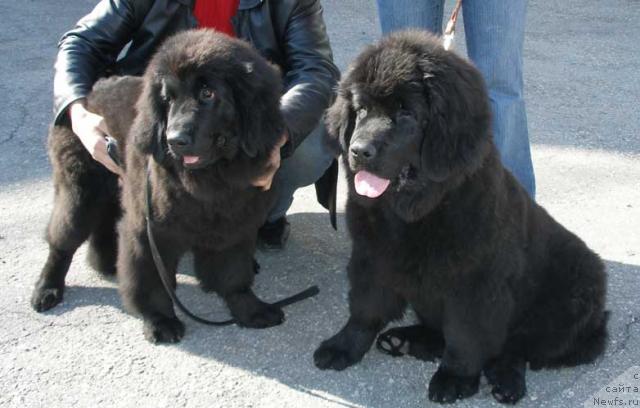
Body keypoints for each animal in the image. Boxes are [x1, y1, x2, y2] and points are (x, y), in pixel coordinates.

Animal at [31, 30, 288, 344]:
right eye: (168, 98)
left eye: (208, 94)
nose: (173, 139)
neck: (211, 179)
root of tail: (87, 93)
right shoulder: (148, 230)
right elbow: (151, 281)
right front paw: (160, 321)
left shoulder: (235, 224)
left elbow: (234, 273)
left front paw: (249, 309)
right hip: (80, 191)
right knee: (61, 241)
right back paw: (47, 288)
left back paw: (105, 261)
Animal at [316, 30, 608, 404]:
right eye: (362, 109)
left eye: (406, 114)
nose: (358, 151)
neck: (415, 212)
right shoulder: (371, 257)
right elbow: (365, 308)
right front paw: (343, 347)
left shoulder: (475, 282)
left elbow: (466, 335)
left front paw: (454, 378)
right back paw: (404, 340)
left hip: (575, 291)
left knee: (519, 346)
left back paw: (505, 380)